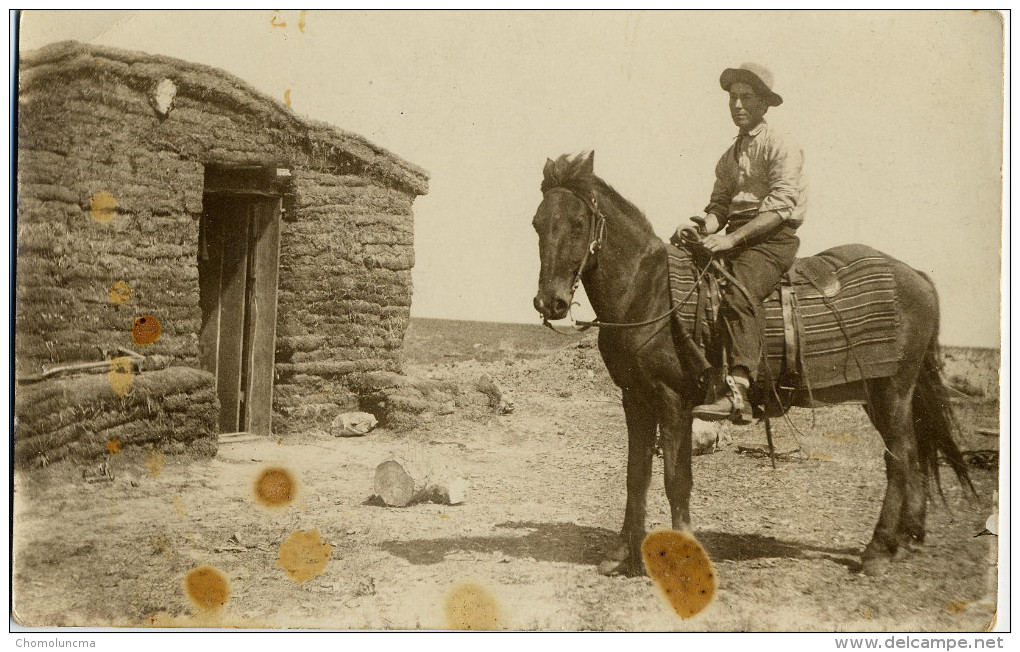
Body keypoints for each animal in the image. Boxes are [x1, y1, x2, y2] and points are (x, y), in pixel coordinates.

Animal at [534, 152, 971, 575]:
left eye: (578, 224)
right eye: (537, 224)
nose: (549, 302)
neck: (648, 292)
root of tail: (916, 275)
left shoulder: (673, 400)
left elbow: (677, 479)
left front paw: (684, 557)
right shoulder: (635, 399)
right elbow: (635, 475)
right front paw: (622, 553)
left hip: (892, 391)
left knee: (898, 459)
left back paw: (878, 551)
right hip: (884, 395)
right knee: (913, 455)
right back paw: (906, 540)